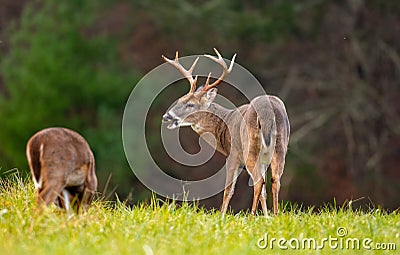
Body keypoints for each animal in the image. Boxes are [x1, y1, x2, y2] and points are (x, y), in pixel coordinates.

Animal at [161, 48, 290, 216]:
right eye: (179, 100)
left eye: (190, 104)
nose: (166, 116)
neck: (224, 124)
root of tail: (267, 111)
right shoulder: (263, 160)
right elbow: (263, 192)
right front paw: (267, 217)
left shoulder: (233, 155)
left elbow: (228, 190)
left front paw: (222, 216)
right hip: (280, 147)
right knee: (275, 180)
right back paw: (275, 215)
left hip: (250, 147)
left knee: (258, 181)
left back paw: (251, 215)